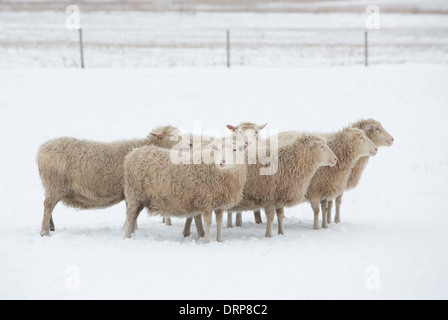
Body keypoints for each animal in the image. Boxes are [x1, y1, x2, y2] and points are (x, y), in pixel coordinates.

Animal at [36, 126, 187, 236]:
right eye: (171, 135)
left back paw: (51, 227)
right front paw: (131, 229)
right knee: (48, 206)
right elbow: (131, 211)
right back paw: (45, 232)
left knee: (47, 205)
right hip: (55, 184)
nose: (190, 144)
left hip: (51, 186)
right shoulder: (131, 189)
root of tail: (42, 149)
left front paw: (131, 229)